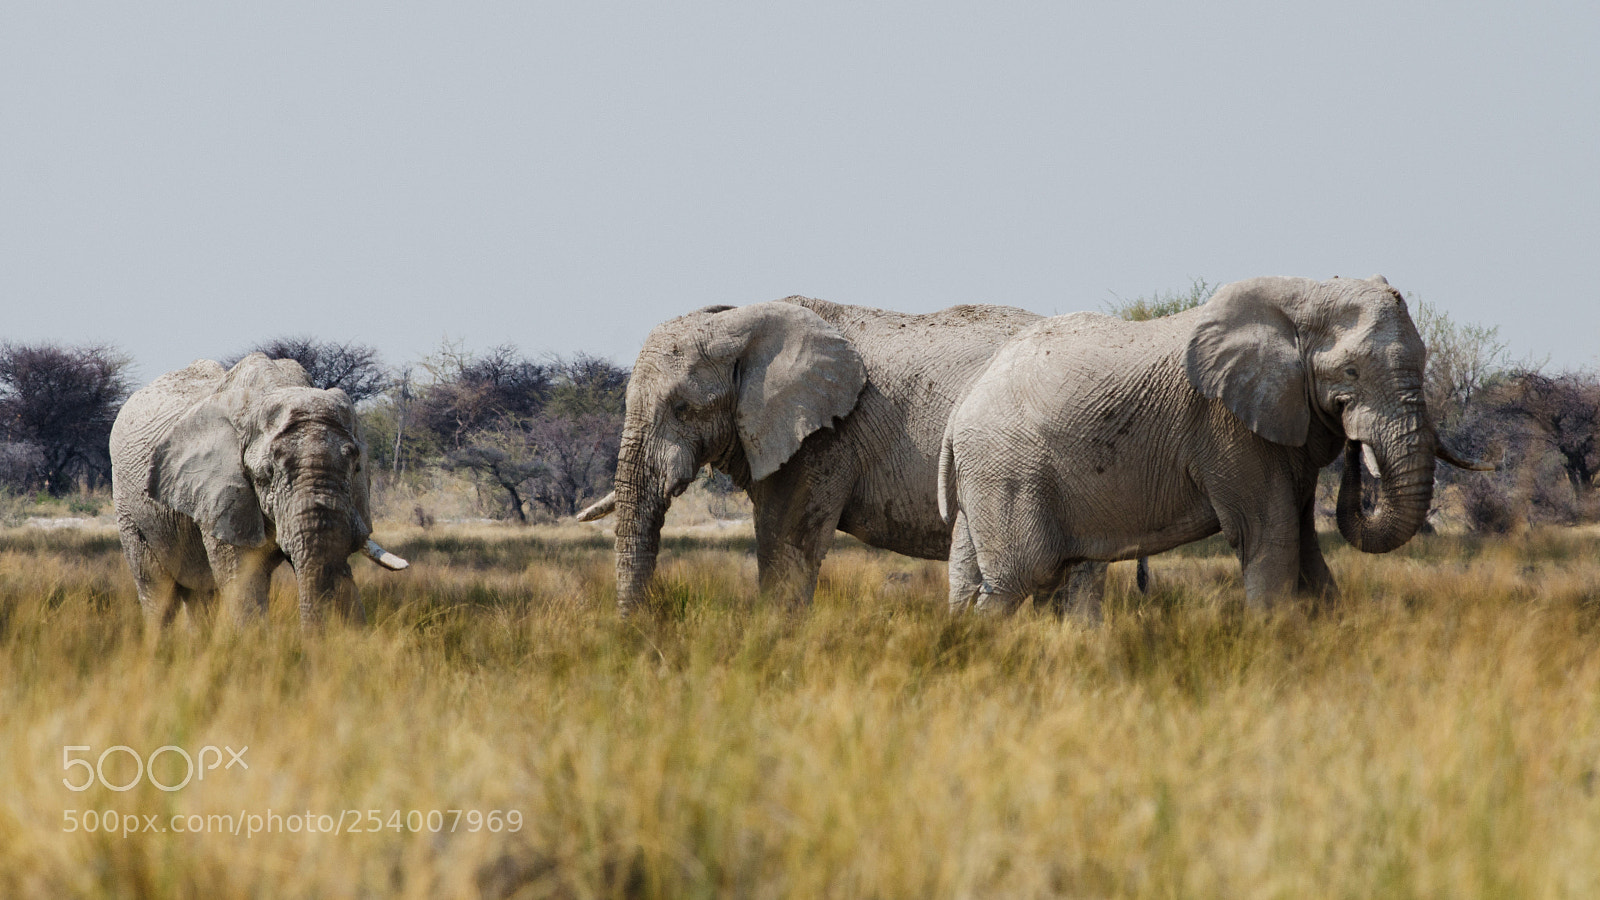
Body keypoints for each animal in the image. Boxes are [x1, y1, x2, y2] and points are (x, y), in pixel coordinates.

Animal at [110, 354, 408, 629]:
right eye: (267, 473)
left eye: (357, 467)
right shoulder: (222, 496)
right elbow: (244, 583)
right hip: (128, 510)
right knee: (158, 594)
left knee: (199, 595)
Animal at [939, 275, 1493, 615]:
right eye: (1351, 373)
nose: (1359, 447)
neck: (1303, 296)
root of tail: (962, 406)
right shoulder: (1229, 428)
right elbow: (1270, 538)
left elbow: (1306, 546)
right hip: (1006, 472)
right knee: (1021, 578)